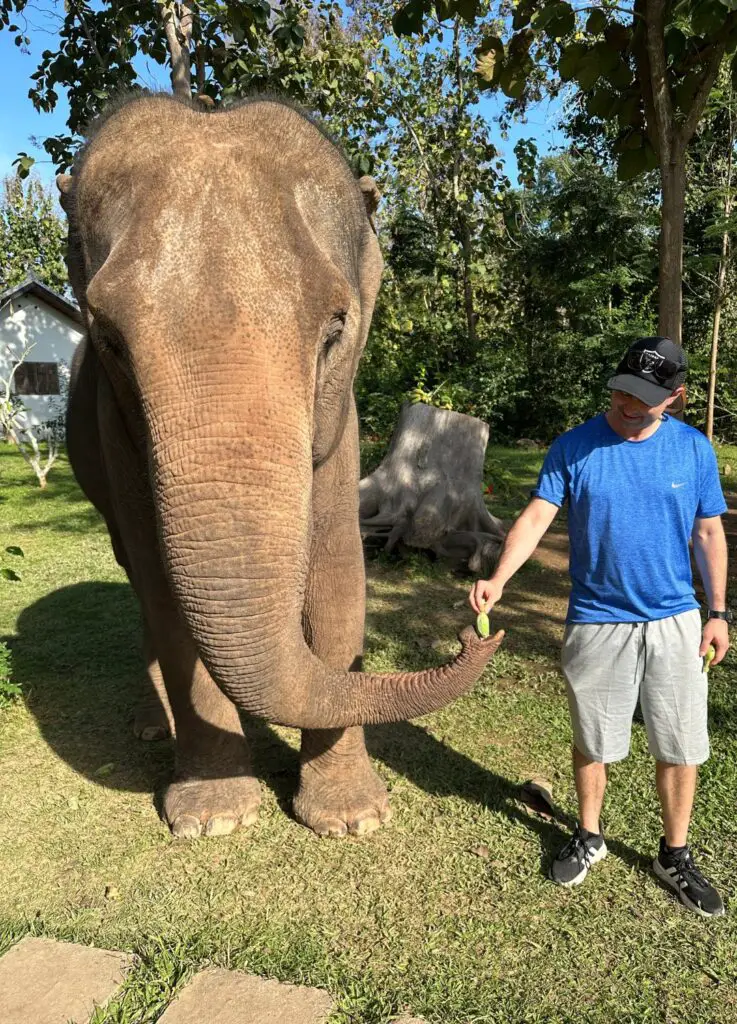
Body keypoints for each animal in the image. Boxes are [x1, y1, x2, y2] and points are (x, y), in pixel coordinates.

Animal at [57, 92, 503, 835]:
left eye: (335, 330)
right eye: (110, 340)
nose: (476, 632)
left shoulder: (341, 419)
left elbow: (339, 576)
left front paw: (353, 819)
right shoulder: (115, 430)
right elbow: (166, 596)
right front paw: (214, 819)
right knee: (137, 582)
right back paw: (155, 729)